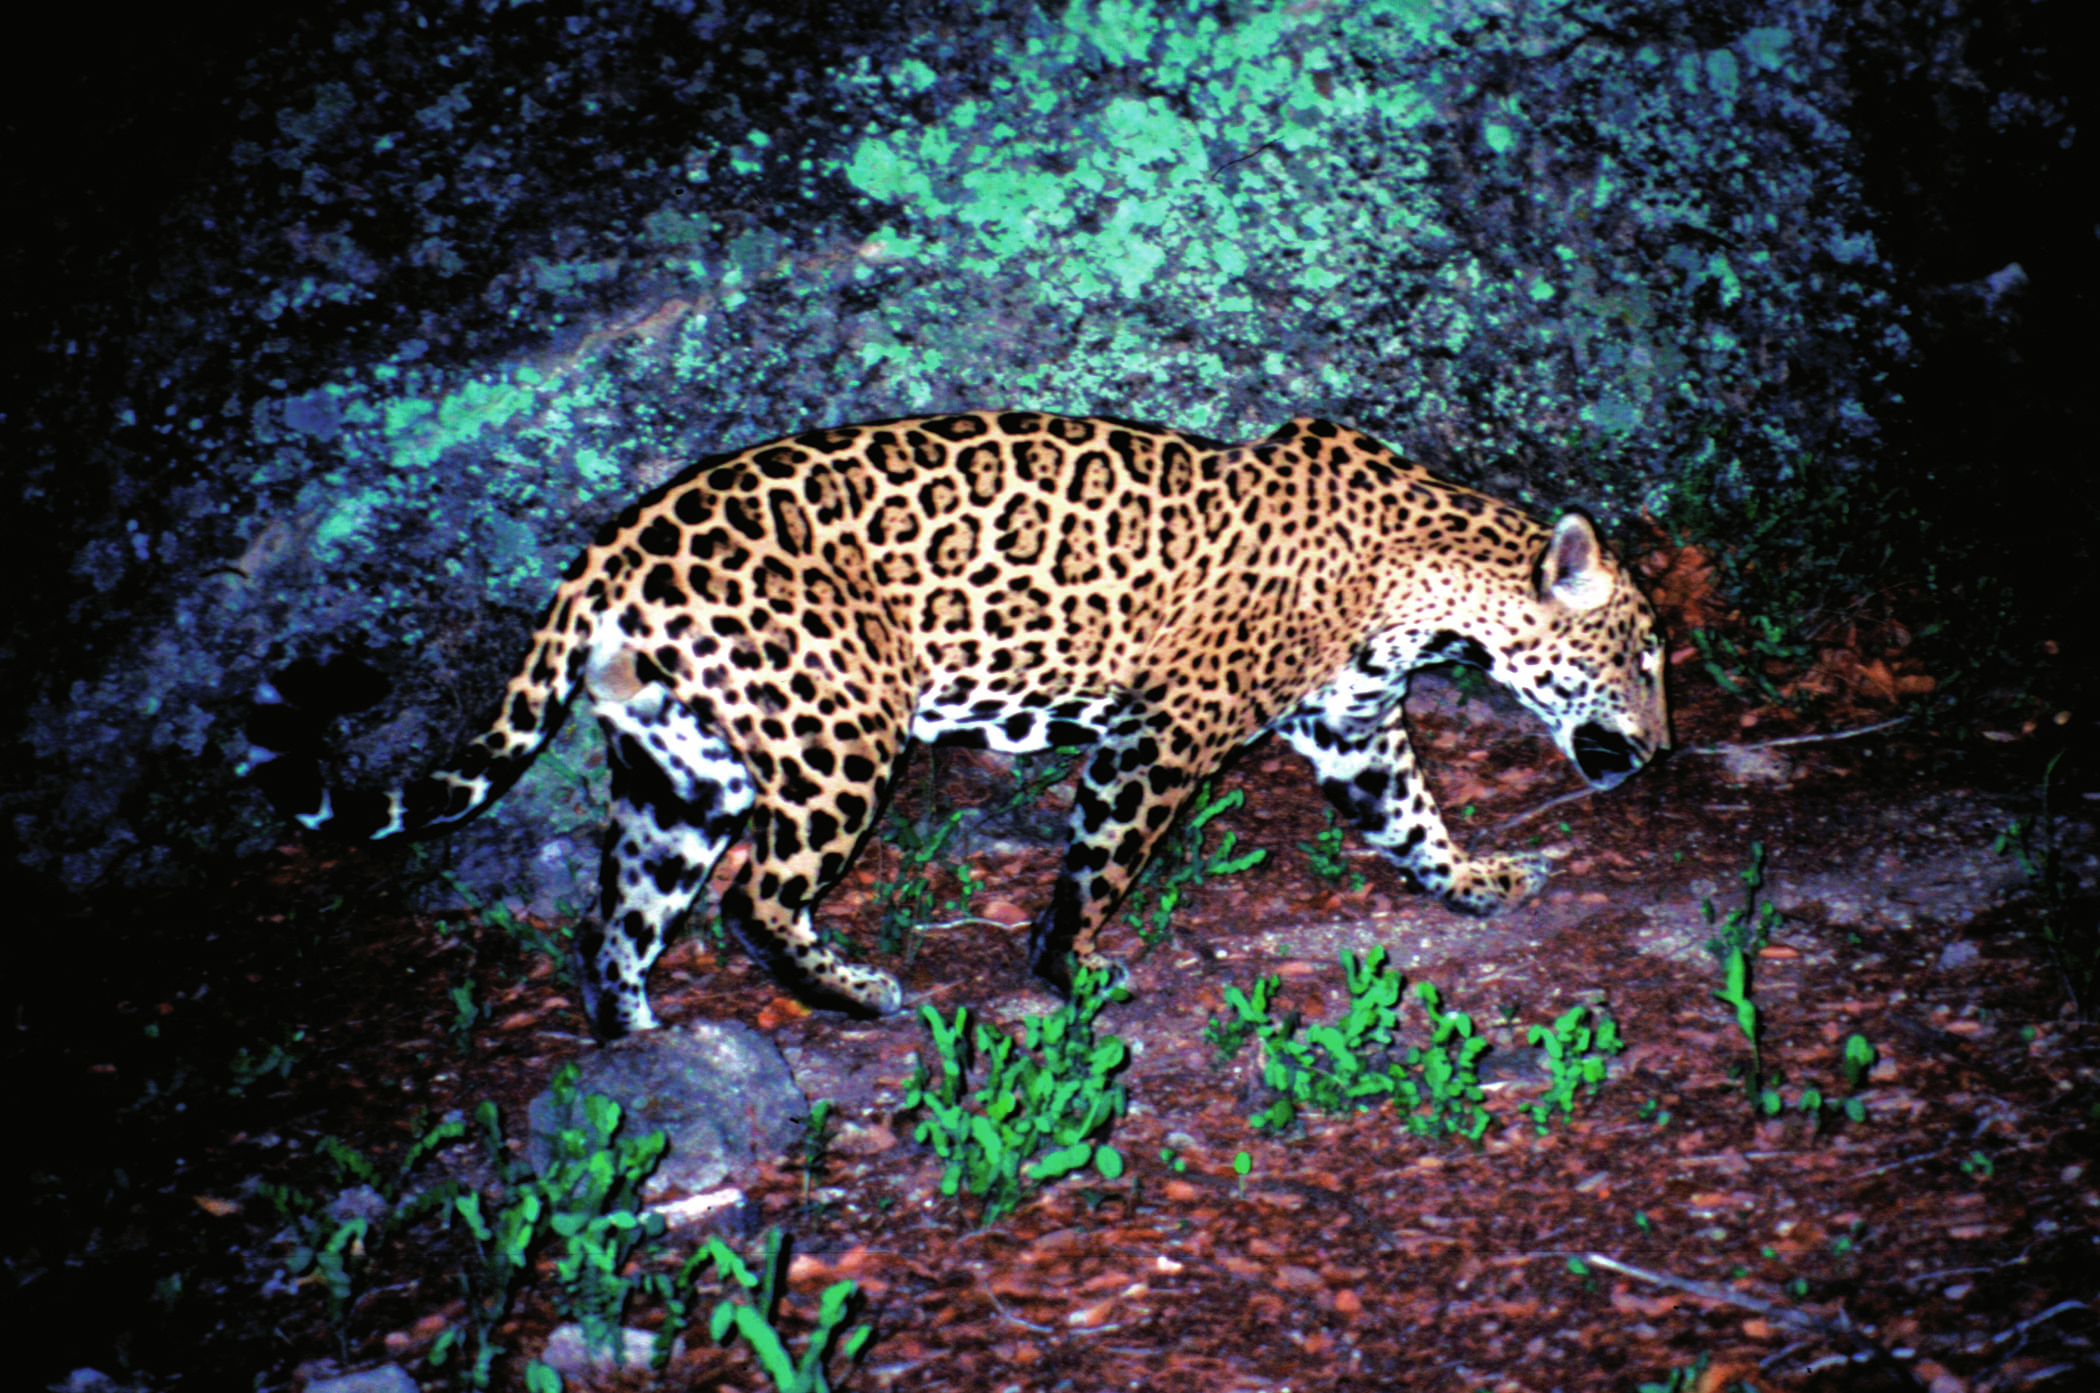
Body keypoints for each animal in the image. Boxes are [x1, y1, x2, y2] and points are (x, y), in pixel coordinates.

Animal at [251, 411, 1669, 1040]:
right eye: (1642, 655)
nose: (1659, 747)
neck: (1427, 575)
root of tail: (612, 546)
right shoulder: (1161, 731)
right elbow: (1101, 861)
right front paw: (1069, 967)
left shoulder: (1356, 726)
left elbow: (1412, 819)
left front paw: (1479, 878)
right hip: (837, 732)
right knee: (753, 897)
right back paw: (853, 990)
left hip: (678, 770)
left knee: (619, 920)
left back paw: (640, 1043)